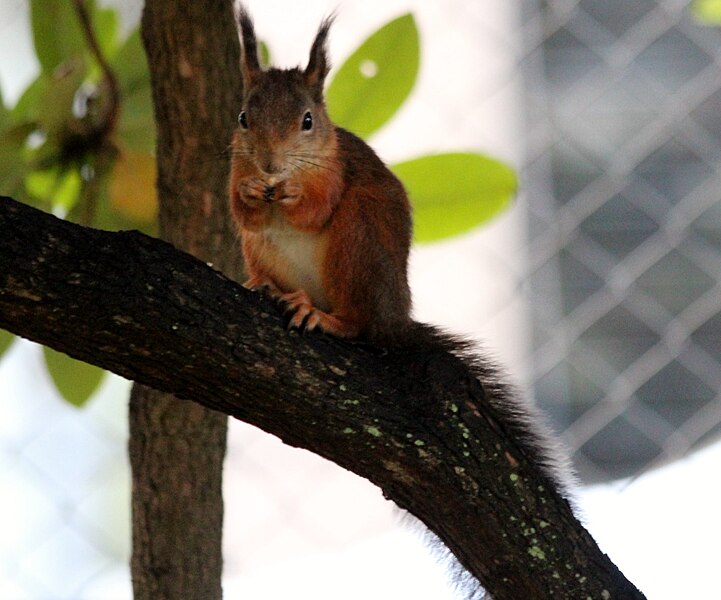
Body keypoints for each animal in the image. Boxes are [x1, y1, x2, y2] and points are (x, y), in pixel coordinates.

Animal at [229, 5, 410, 342]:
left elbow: (316, 211)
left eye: (308, 121)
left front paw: (295, 194)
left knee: (356, 322)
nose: (270, 165)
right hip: (258, 250)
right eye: (243, 118)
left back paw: (320, 315)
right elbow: (245, 216)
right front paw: (250, 191)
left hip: (357, 240)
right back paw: (269, 286)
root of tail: (395, 322)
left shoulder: (334, 171)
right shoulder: (237, 167)